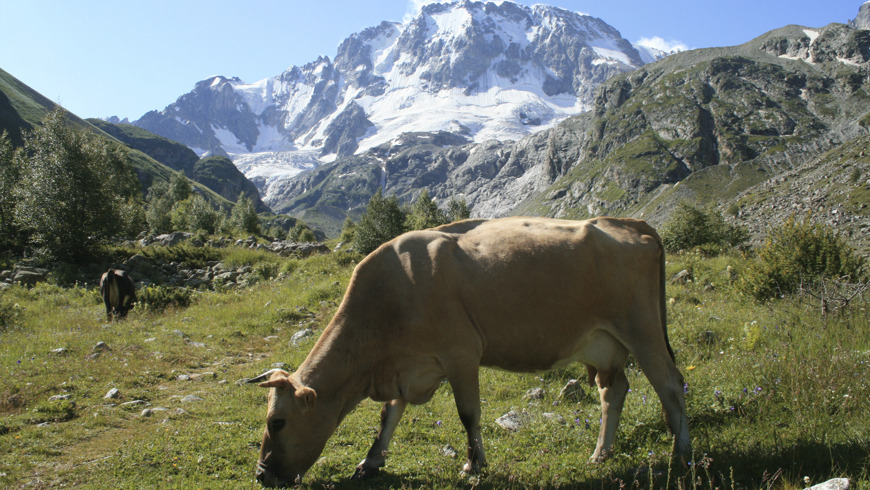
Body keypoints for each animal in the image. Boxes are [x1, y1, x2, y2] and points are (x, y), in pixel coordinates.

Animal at [252, 218, 696, 486]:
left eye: (277, 422)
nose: (261, 474)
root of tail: (629, 223)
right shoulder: (406, 369)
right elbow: (388, 416)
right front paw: (371, 462)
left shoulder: (461, 354)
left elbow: (468, 414)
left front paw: (473, 464)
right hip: (604, 345)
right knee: (614, 391)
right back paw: (601, 454)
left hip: (643, 331)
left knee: (671, 386)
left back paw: (682, 454)